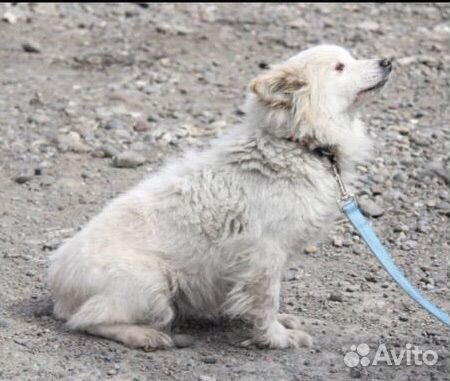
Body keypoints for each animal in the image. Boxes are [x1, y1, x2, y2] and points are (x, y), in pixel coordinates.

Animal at [48, 45, 390, 350]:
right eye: (340, 67)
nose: (387, 61)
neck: (298, 143)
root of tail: (58, 280)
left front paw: (279, 324)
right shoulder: (264, 255)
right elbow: (266, 301)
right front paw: (277, 338)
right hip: (149, 281)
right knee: (88, 319)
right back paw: (145, 336)